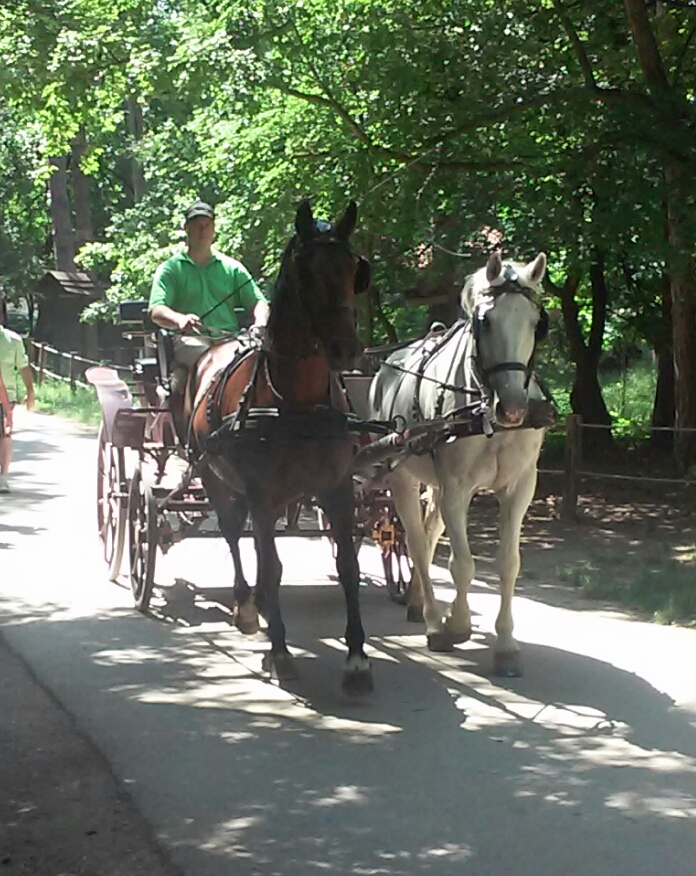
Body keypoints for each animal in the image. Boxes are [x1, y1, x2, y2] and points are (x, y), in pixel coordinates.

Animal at [184, 202, 370, 696]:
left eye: (354, 269)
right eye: (306, 272)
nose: (346, 348)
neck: (298, 404)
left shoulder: (338, 489)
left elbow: (347, 565)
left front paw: (357, 658)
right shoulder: (261, 494)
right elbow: (271, 565)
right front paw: (281, 651)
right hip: (214, 477)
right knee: (235, 536)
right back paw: (248, 607)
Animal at [368, 253, 552, 676]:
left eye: (538, 323)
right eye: (484, 321)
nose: (513, 407)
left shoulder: (520, 488)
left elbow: (508, 564)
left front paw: (505, 645)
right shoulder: (456, 487)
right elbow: (462, 565)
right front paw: (457, 623)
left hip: (433, 485)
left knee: (429, 532)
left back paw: (420, 602)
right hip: (402, 477)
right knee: (417, 544)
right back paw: (435, 621)